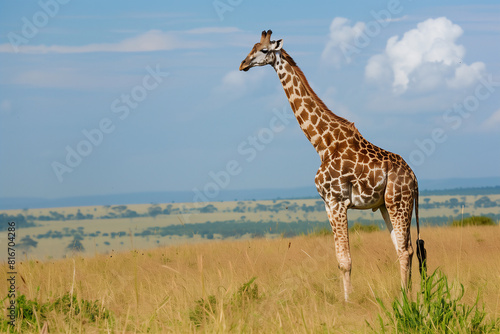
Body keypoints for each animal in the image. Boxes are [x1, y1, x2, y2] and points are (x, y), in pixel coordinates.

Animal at [238, 30, 426, 300]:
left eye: (263, 50)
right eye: (251, 47)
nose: (243, 64)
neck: (322, 143)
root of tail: (415, 179)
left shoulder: (337, 201)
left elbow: (345, 261)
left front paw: (348, 302)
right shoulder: (327, 204)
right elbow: (340, 259)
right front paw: (346, 298)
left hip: (398, 202)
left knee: (405, 250)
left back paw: (404, 299)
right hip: (385, 205)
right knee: (407, 249)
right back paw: (405, 295)